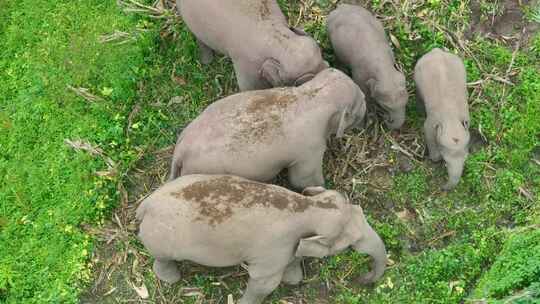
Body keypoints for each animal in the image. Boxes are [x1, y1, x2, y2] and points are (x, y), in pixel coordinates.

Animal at [137, 173, 386, 304]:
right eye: (352, 243)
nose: (363, 279)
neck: (306, 207)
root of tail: (145, 204)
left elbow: (294, 260)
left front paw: (293, 278)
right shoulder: (273, 250)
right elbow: (265, 282)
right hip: (160, 240)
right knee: (162, 259)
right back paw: (172, 279)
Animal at [170, 69, 368, 190]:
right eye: (361, 102)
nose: (368, 107)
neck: (313, 94)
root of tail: (180, 151)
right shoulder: (310, 149)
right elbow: (303, 180)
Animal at [416, 47, 470, 190]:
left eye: (465, 159)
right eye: (446, 161)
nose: (442, 187)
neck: (451, 118)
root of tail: (436, 50)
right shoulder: (431, 121)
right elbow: (427, 132)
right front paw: (436, 158)